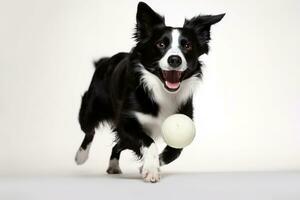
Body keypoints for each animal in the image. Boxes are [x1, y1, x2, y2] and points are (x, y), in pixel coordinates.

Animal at [75, 1, 225, 183]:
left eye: (187, 45)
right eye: (161, 44)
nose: (174, 59)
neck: (162, 91)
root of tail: (105, 61)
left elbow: (175, 151)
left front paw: (149, 166)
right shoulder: (126, 123)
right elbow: (149, 143)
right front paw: (151, 169)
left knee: (117, 145)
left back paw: (114, 166)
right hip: (91, 108)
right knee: (89, 130)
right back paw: (81, 156)